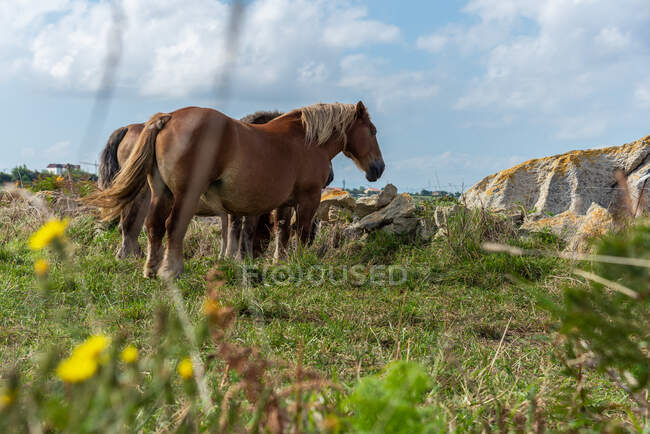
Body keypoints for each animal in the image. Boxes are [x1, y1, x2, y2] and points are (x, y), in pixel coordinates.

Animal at [85, 101, 380, 278]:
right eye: (373, 131)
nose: (379, 167)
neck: (305, 141)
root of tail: (166, 118)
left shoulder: (281, 203)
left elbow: (280, 231)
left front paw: (276, 261)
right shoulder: (307, 198)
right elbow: (301, 232)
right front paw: (299, 262)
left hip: (161, 193)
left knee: (152, 226)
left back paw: (150, 268)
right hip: (182, 194)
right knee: (168, 226)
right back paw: (171, 269)